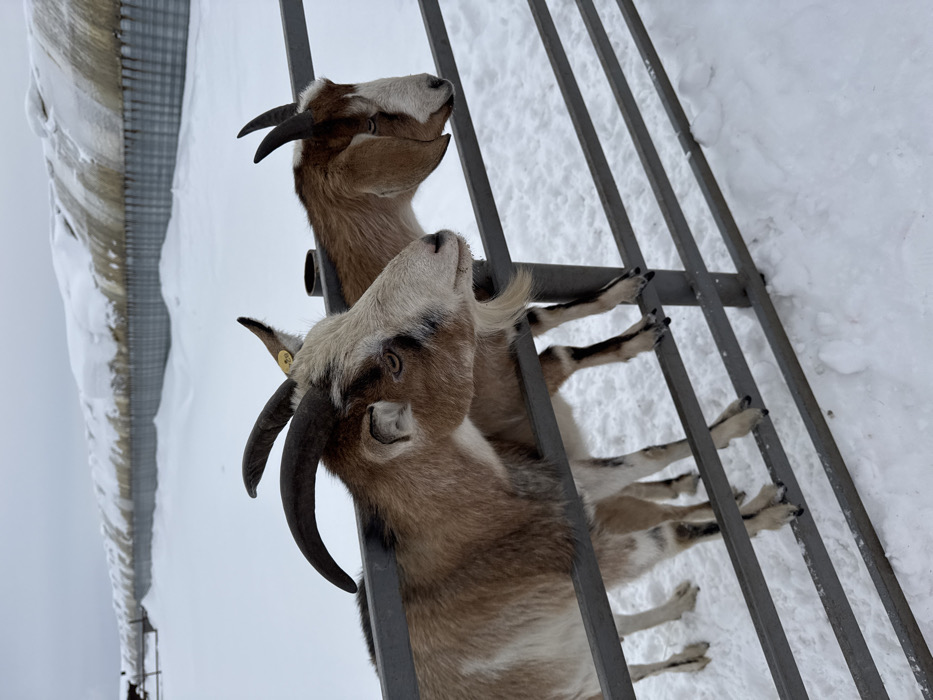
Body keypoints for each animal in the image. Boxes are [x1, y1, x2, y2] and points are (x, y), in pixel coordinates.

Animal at [242, 231, 802, 699]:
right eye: (394, 361)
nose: (436, 241)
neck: (484, 517)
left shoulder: (567, 478)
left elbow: (640, 458)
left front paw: (736, 420)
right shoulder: (595, 555)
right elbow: (676, 533)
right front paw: (773, 510)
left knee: (623, 631)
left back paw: (684, 617)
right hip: (577, 677)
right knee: (633, 661)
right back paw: (687, 649)